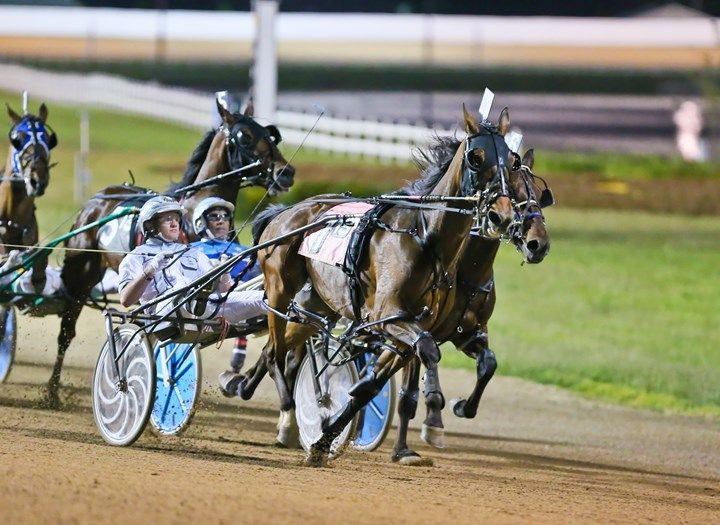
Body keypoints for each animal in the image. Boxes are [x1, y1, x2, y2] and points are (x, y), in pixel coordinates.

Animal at [43, 100, 295, 407]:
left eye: (271, 135)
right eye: (244, 136)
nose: (286, 172)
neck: (194, 214)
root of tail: (96, 199)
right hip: (82, 273)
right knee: (67, 330)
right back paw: (53, 390)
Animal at [245, 106, 516, 466]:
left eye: (513, 161)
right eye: (476, 157)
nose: (503, 216)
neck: (424, 237)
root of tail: (287, 210)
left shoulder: (411, 326)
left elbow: (377, 386)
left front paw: (324, 441)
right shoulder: (389, 316)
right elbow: (428, 351)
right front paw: (434, 416)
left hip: (318, 306)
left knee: (275, 348)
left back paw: (244, 388)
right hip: (279, 289)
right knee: (275, 353)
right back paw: (288, 413)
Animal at [389, 148, 553, 464]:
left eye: (541, 195)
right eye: (513, 192)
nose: (538, 245)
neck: (466, 272)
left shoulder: (469, 333)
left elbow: (488, 364)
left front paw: (461, 407)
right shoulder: (415, 328)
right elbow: (409, 393)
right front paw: (405, 446)